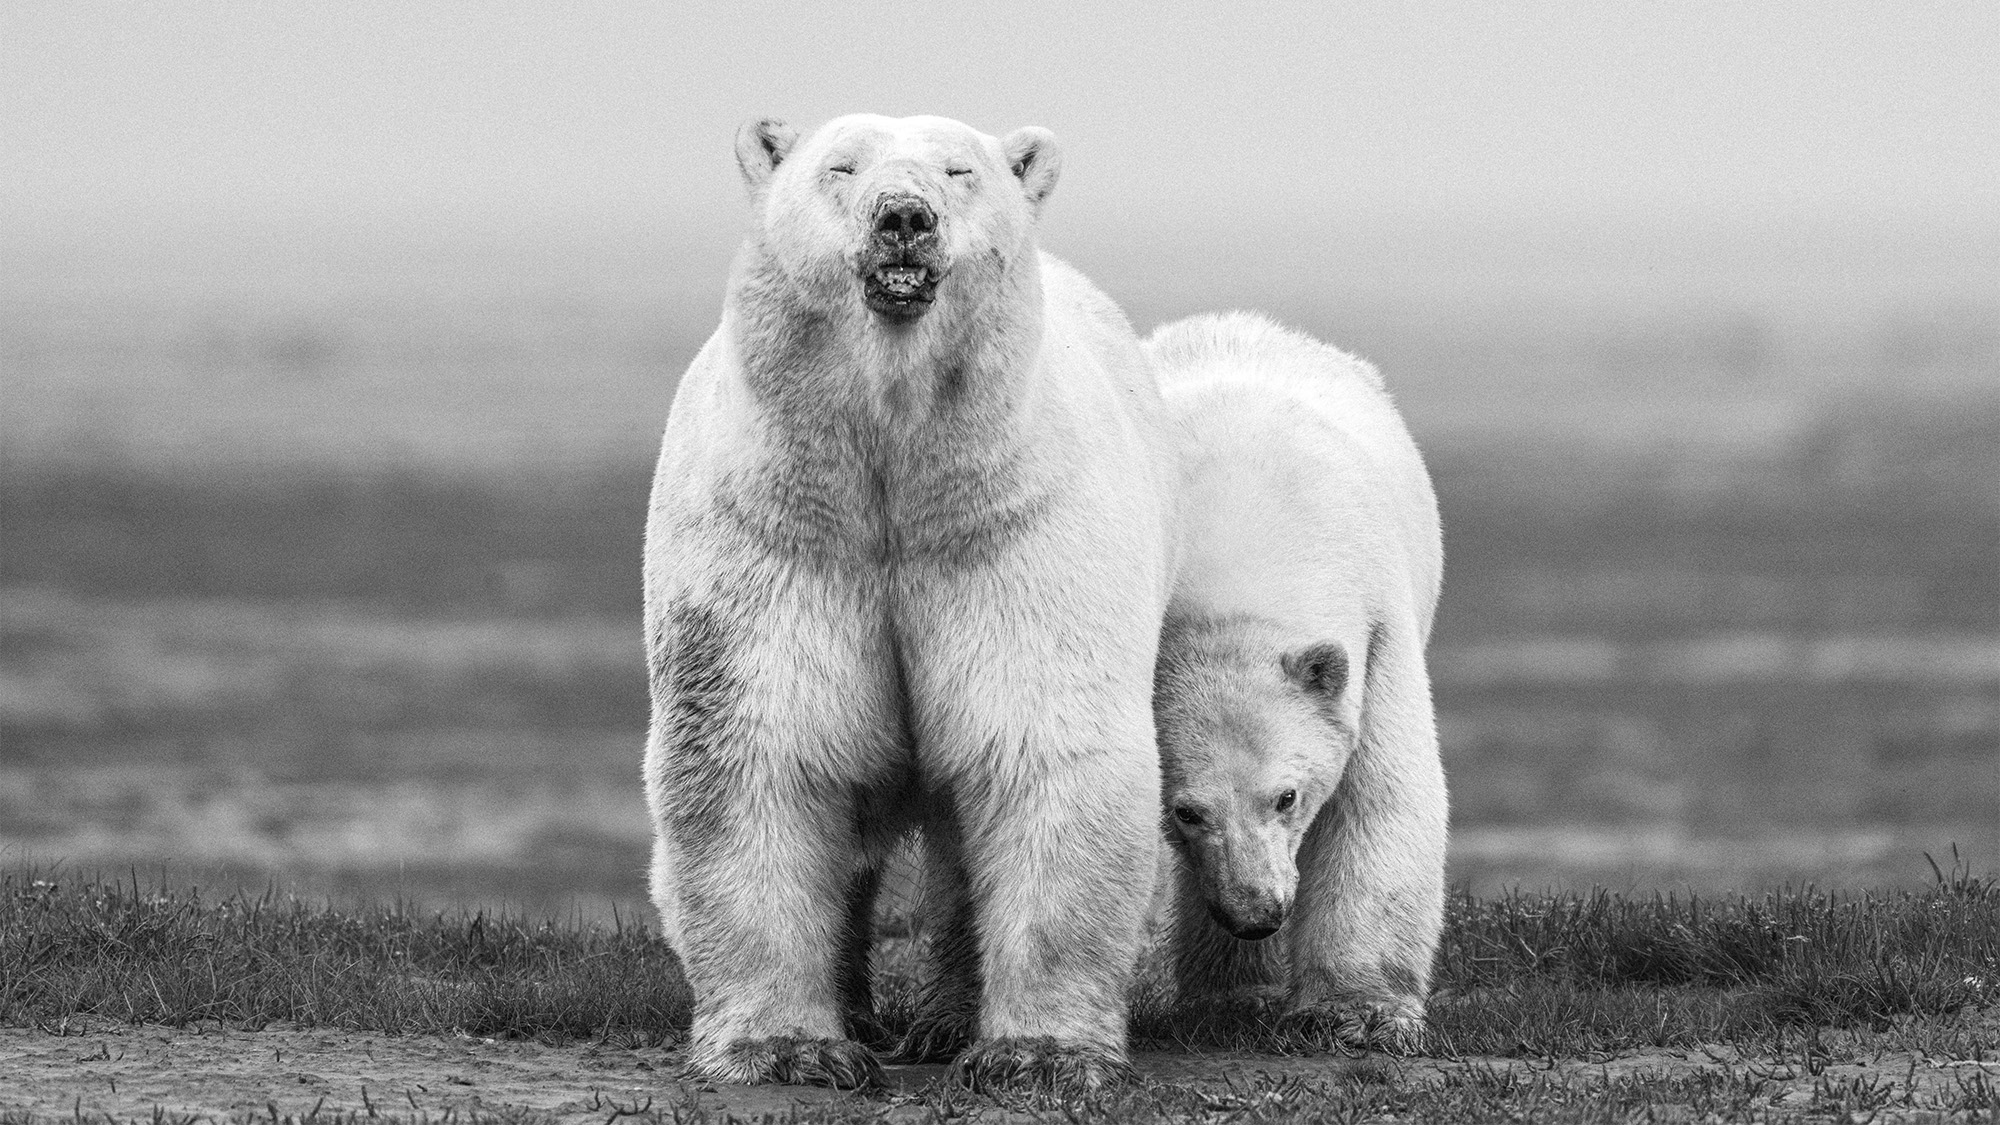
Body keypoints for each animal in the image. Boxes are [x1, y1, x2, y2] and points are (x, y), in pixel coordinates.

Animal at [641, 115, 1178, 1091]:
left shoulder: (1010, 531)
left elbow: (1039, 745)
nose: (903, 217)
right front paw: (791, 1047)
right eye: (840, 166)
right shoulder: (778, 533)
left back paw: (944, 1021)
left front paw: (1035, 1054)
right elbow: (763, 748)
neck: (896, 467)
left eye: (960, 170)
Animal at [1144, 311, 1447, 1051]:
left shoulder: (1374, 627)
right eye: (1185, 810)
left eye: (1287, 796)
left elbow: (1379, 798)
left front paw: (1358, 1012)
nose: (1256, 913)